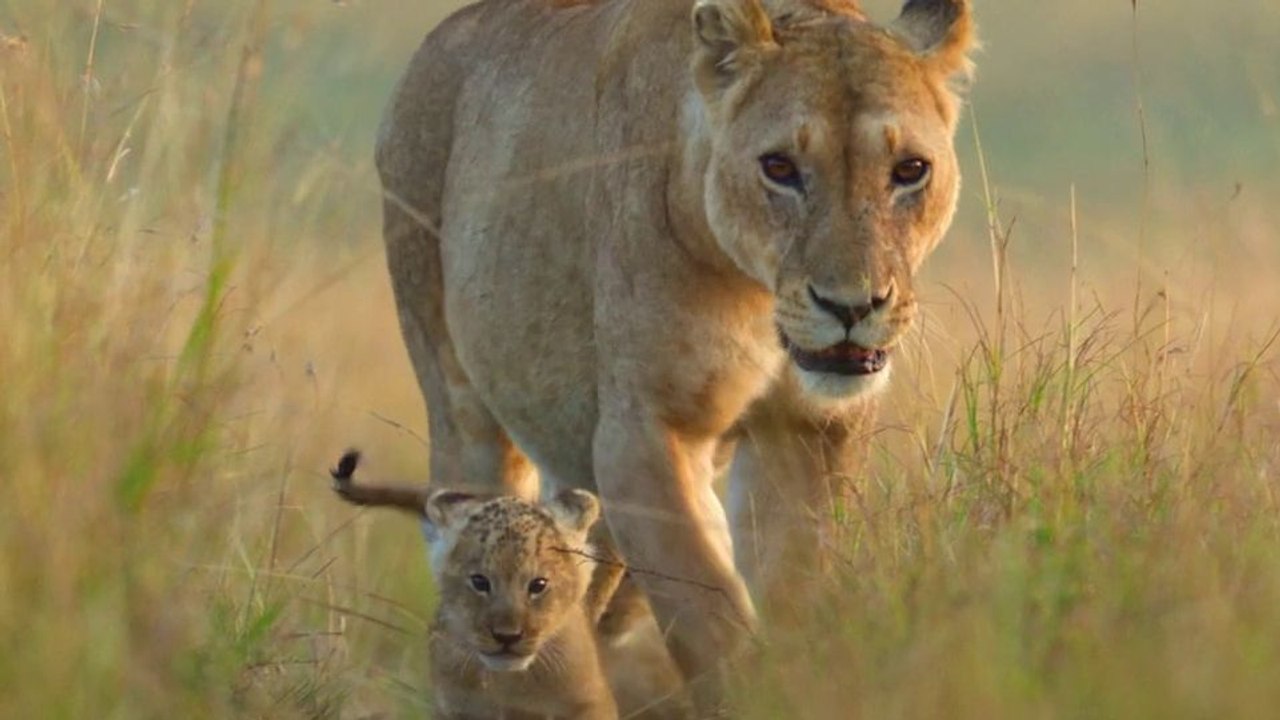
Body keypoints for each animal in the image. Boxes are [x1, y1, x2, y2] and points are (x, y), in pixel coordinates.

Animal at [374, 0, 975, 708]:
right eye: (779, 168)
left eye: (910, 170)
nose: (851, 307)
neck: (757, 294)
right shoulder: (645, 434)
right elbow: (710, 615)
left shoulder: (809, 430)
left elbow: (794, 593)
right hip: (458, 397)